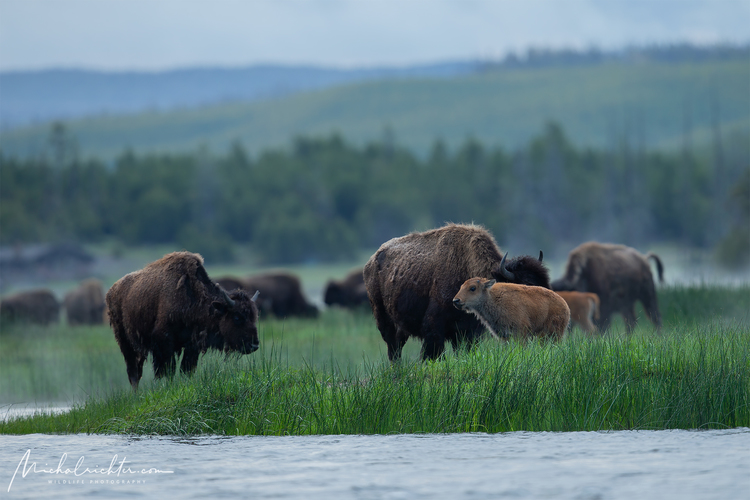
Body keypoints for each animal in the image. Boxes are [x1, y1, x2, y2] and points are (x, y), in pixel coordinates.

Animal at [104, 252, 260, 388]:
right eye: (237, 317)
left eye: (254, 317)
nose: (254, 345)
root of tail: (111, 291)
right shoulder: (164, 342)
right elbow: (169, 370)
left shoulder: (192, 345)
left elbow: (186, 370)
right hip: (125, 343)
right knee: (133, 373)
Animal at [364, 223, 552, 360]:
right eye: (526, 285)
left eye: (546, 283)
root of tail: (372, 262)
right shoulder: (434, 327)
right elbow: (433, 353)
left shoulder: (468, 332)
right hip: (384, 320)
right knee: (393, 348)